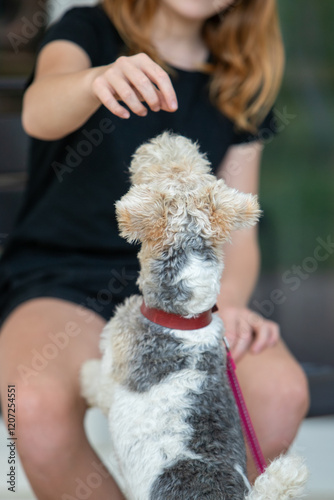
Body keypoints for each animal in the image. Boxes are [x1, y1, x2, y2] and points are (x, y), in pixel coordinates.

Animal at [81, 133, 308, 500]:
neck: (185, 320)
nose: (168, 137)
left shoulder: (110, 375)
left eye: (162, 174)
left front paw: (83, 374)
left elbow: (92, 377)